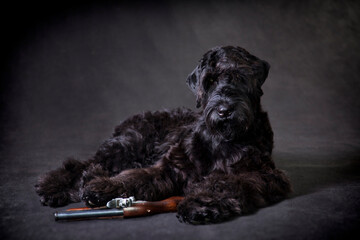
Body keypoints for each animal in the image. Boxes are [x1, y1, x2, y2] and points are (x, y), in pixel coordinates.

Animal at [35, 46, 292, 224]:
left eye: (240, 77)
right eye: (210, 81)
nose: (224, 110)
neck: (221, 141)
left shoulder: (261, 174)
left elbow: (223, 182)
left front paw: (199, 203)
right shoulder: (170, 167)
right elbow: (136, 177)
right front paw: (104, 188)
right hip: (126, 149)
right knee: (79, 164)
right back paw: (54, 187)